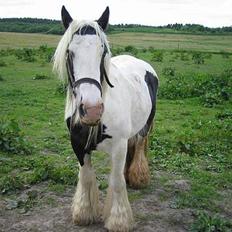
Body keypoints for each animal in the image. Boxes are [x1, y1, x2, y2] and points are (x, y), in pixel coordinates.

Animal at [52, 5, 159, 232]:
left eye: (102, 52)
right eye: (69, 53)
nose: (92, 110)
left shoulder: (118, 145)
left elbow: (116, 182)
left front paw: (118, 220)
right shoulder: (78, 144)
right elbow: (86, 177)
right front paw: (84, 213)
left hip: (144, 126)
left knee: (139, 145)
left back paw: (138, 178)